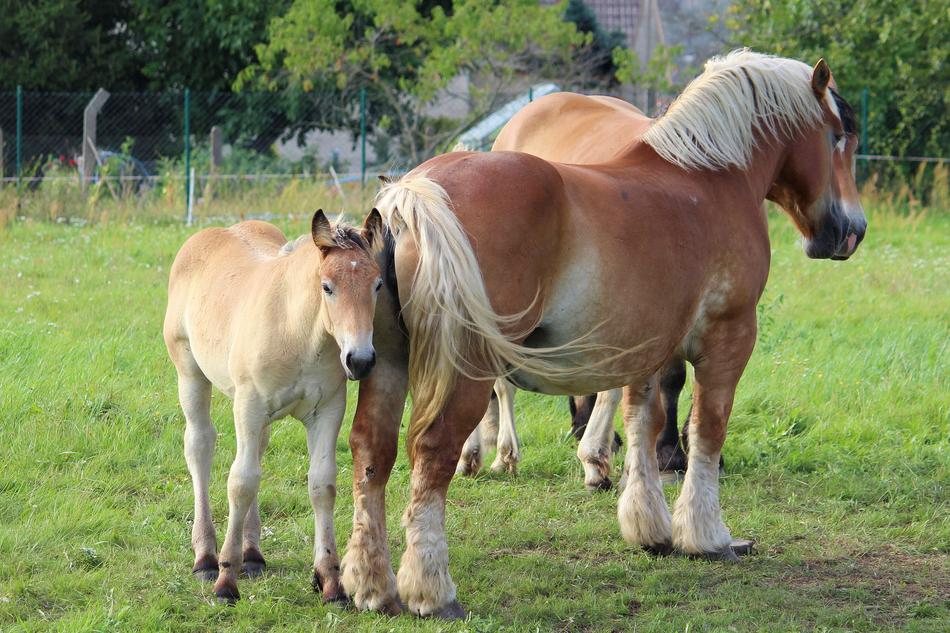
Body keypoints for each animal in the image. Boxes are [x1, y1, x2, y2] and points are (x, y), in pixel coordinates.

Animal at [163, 210, 386, 603]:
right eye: (327, 286)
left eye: (377, 285)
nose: (359, 360)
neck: (297, 331)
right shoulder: (248, 406)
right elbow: (241, 482)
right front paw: (226, 580)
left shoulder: (328, 411)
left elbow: (322, 484)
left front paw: (330, 580)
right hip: (190, 375)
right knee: (200, 446)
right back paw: (205, 558)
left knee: (257, 453)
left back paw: (252, 553)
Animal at [340, 51, 866, 618]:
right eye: (839, 136)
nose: (851, 232)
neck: (707, 179)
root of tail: (414, 193)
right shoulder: (728, 338)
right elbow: (707, 428)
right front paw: (706, 535)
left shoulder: (646, 345)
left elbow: (642, 422)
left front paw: (648, 526)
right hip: (466, 367)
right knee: (434, 451)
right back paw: (432, 588)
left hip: (389, 361)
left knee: (371, 451)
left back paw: (371, 585)